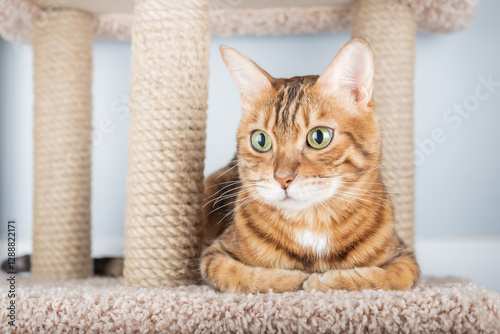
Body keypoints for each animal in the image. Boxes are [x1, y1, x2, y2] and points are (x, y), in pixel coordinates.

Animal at [201, 39, 420, 294]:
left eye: (319, 137)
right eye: (260, 140)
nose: (282, 178)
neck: (312, 222)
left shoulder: (405, 258)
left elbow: (389, 277)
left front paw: (326, 280)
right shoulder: (214, 255)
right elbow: (247, 276)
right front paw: (297, 278)